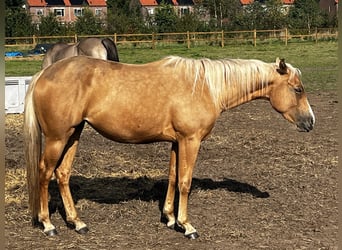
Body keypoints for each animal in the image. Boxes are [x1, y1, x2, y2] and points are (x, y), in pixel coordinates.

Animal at [24, 55, 316, 239]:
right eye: (298, 89)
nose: (311, 122)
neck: (206, 87)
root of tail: (43, 73)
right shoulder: (190, 140)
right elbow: (185, 182)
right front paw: (187, 226)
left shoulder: (177, 142)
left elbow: (174, 178)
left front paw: (170, 218)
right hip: (57, 138)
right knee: (44, 173)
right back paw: (48, 225)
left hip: (73, 134)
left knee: (62, 174)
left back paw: (77, 223)